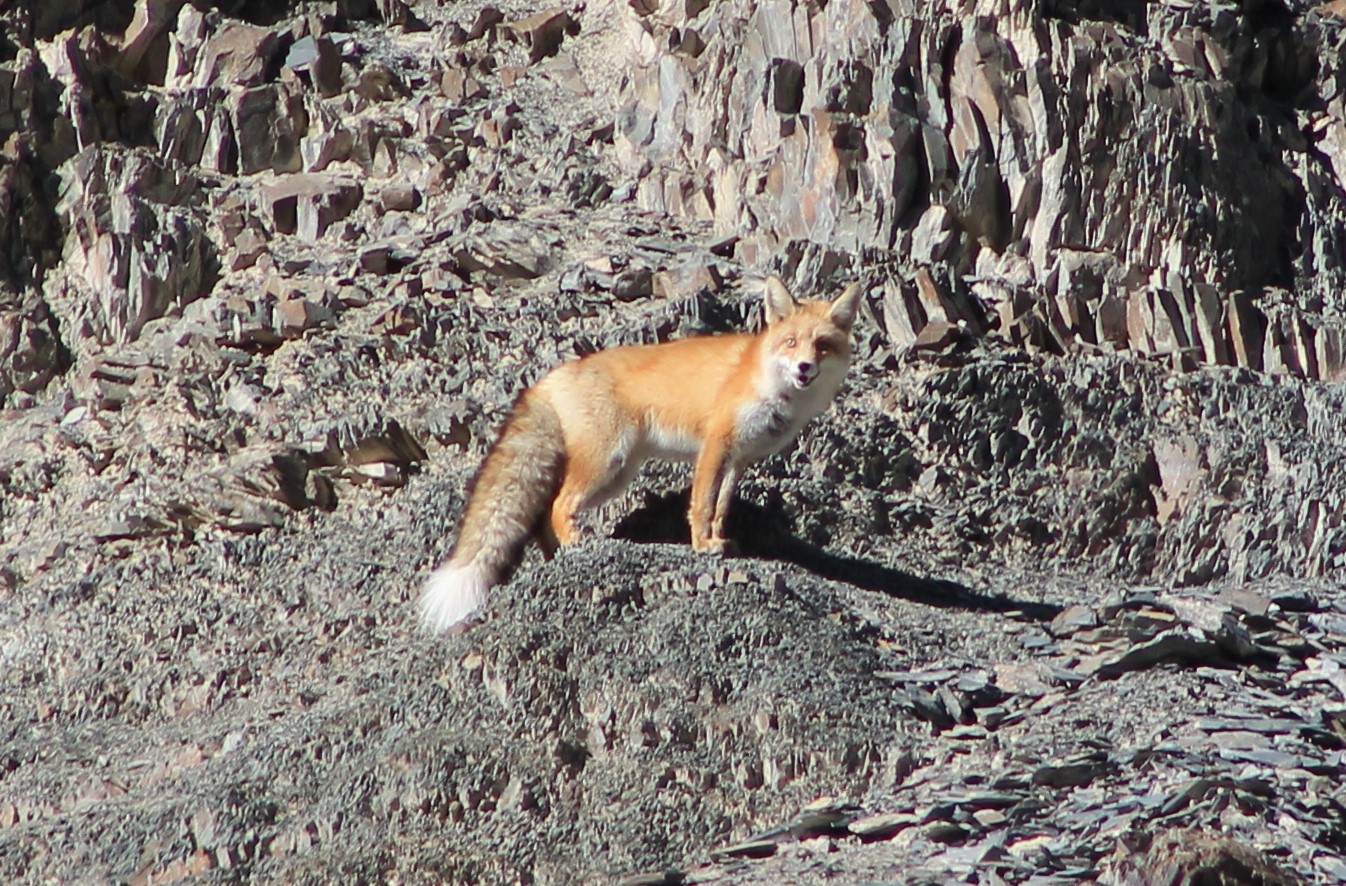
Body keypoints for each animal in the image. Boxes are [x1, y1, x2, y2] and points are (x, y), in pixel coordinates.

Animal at [419, 276, 865, 633]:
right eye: (791, 343)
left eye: (822, 346)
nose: (804, 367)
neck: (769, 387)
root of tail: (550, 378)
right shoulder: (715, 445)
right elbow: (702, 504)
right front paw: (702, 545)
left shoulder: (739, 459)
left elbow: (722, 506)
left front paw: (721, 539)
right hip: (606, 463)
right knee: (559, 505)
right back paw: (576, 544)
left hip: (616, 476)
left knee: (544, 515)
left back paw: (557, 556)